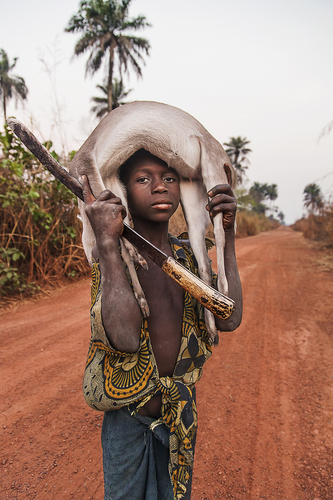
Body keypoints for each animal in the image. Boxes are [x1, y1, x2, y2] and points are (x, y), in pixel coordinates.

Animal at [69, 99, 235, 342]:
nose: (91, 261)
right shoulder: (111, 182)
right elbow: (123, 239)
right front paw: (141, 299)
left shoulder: (86, 168)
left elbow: (124, 236)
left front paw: (138, 256)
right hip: (191, 189)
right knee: (203, 261)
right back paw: (211, 322)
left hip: (212, 166)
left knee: (220, 236)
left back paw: (223, 292)